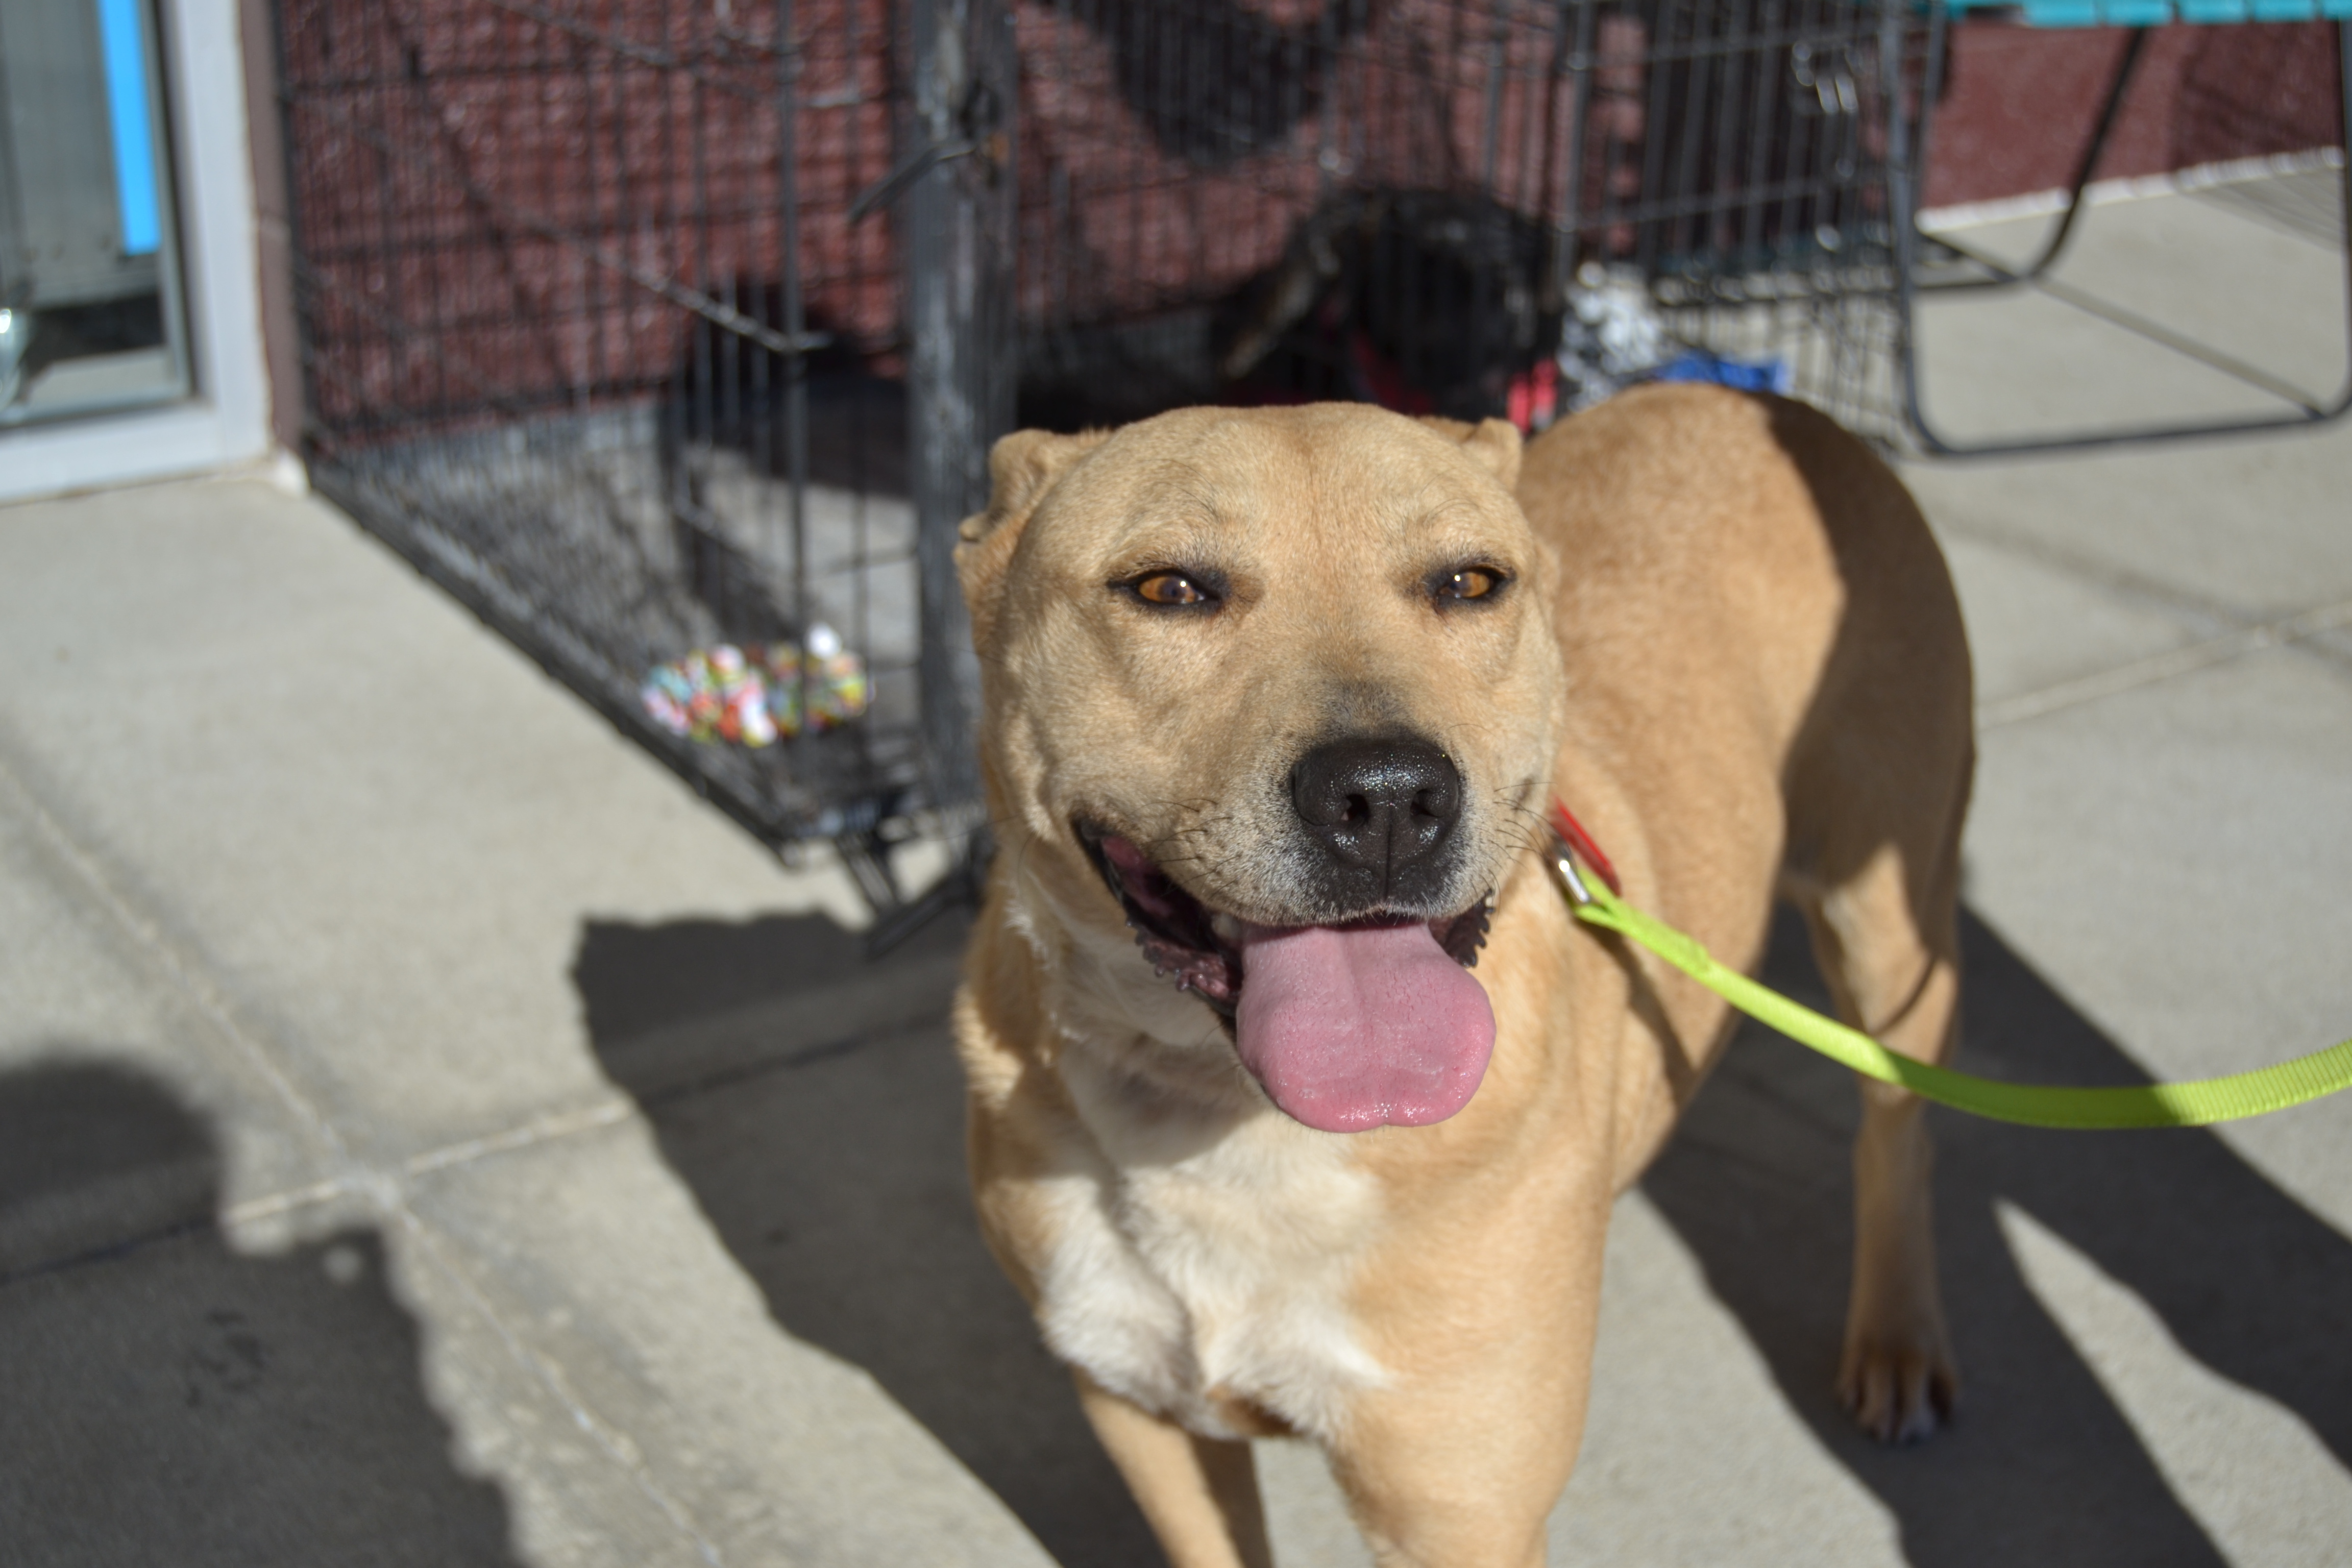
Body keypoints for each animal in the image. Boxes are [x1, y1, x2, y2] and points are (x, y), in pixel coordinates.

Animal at [950, 383, 1966, 1568]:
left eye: (1468, 583)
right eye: (1169, 588)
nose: (1386, 797)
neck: (1229, 1121)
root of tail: (1765, 396)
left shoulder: (1456, 1505)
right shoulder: (1149, 1417)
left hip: (1889, 923)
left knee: (1896, 1128)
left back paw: (1897, 1336)